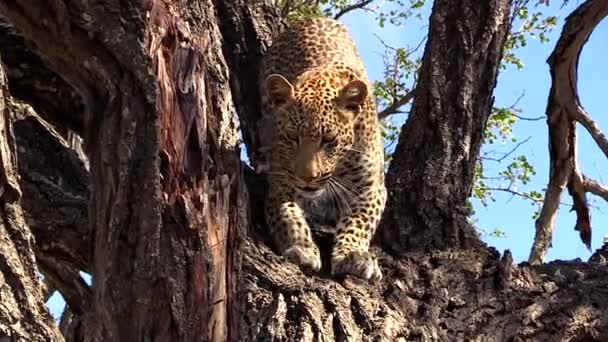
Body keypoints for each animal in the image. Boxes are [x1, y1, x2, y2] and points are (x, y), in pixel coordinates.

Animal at [256, 17, 384, 282]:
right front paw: (302, 247)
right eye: (292, 137)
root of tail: (310, 19)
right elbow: (287, 214)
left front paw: (354, 255)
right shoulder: (281, 182)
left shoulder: (372, 186)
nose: (308, 177)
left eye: (329, 140)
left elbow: (360, 221)